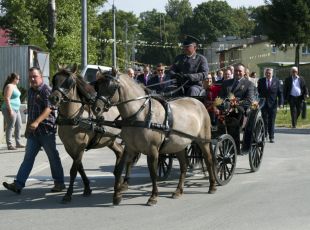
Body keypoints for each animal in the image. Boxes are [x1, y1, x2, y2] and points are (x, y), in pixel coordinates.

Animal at [48, 65, 123, 202]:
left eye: (69, 82)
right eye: (54, 80)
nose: (54, 98)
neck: (73, 118)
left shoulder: (80, 146)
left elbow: (73, 170)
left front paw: (68, 194)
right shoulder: (69, 147)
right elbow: (80, 168)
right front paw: (87, 188)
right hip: (110, 139)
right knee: (120, 151)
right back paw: (118, 177)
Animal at [93, 71, 217, 206]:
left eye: (111, 87)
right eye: (97, 86)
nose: (96, 109)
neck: (140, 114)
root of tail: (198, 102)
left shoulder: (152, 150)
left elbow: (153, 173)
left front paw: (153, 197)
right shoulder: (130, 148)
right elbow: (119, 169)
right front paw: (117, 195)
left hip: (203, 141)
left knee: (209, 160)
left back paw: (212, 185)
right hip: (178, 145)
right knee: (184, 166)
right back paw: (178, 191)